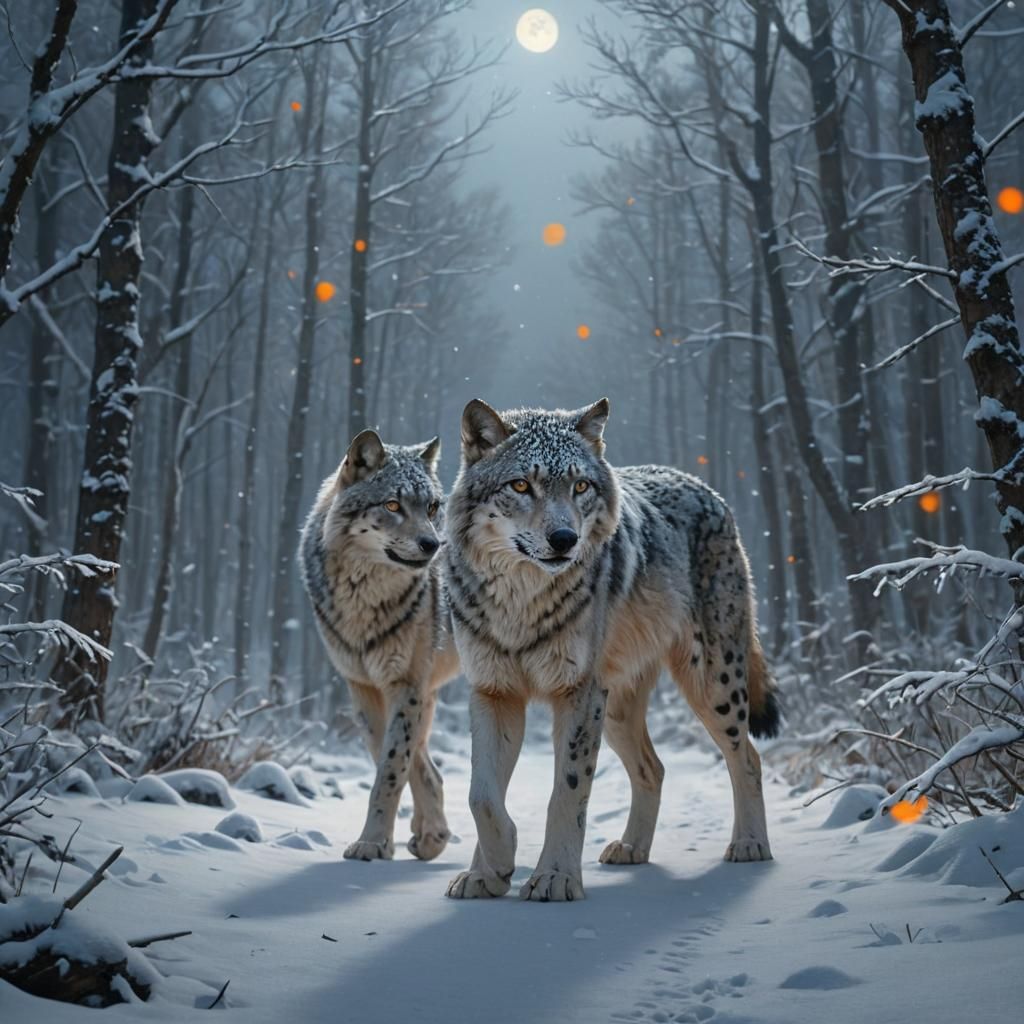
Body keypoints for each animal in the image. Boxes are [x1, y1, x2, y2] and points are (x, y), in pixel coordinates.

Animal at [299, 430, 459, 861]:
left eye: (432, 506)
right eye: (392, 505)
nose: (432, 544)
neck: (363, 600)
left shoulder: (405, 684)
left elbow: (391, 771)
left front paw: (372, 843)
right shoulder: (365, 687)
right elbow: (394, 762)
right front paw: (422, 837)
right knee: (431, 767)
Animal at [444, 398, 780, 901]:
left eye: (580, 486)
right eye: (521, 485)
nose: (565, 539)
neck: (519, 605)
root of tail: (707, 490)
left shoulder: (578, 695)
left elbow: (567, 793)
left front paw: (554, 878)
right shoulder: (493, 692)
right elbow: (481, 795)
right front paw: (491, 870)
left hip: (711, 689)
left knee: (749, 758)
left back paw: (750, 845)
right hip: (617, 711)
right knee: (654, 769)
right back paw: (631, 849)